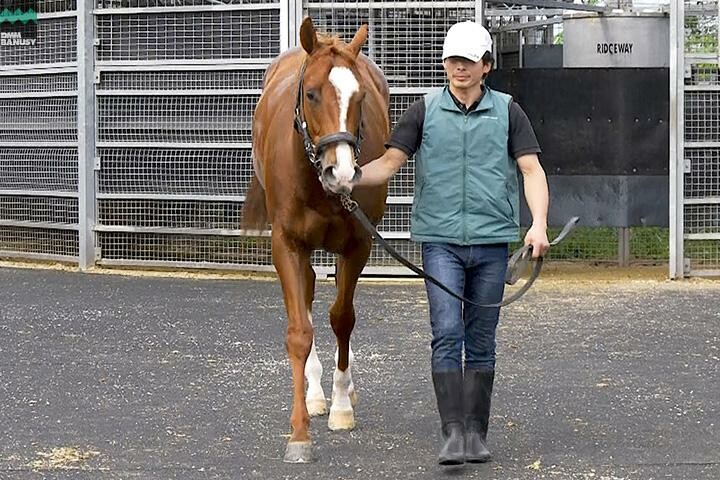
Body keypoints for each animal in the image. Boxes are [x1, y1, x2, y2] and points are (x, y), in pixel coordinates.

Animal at [240, 16, 388, 464]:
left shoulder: (359, 245)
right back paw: (315, 392)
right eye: (311, 93)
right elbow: (299, 332)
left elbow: (342, 319)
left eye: (360, 96)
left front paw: (340, 406)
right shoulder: (287, 246)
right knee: (306, 296)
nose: (341, 172)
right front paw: (300, 432)